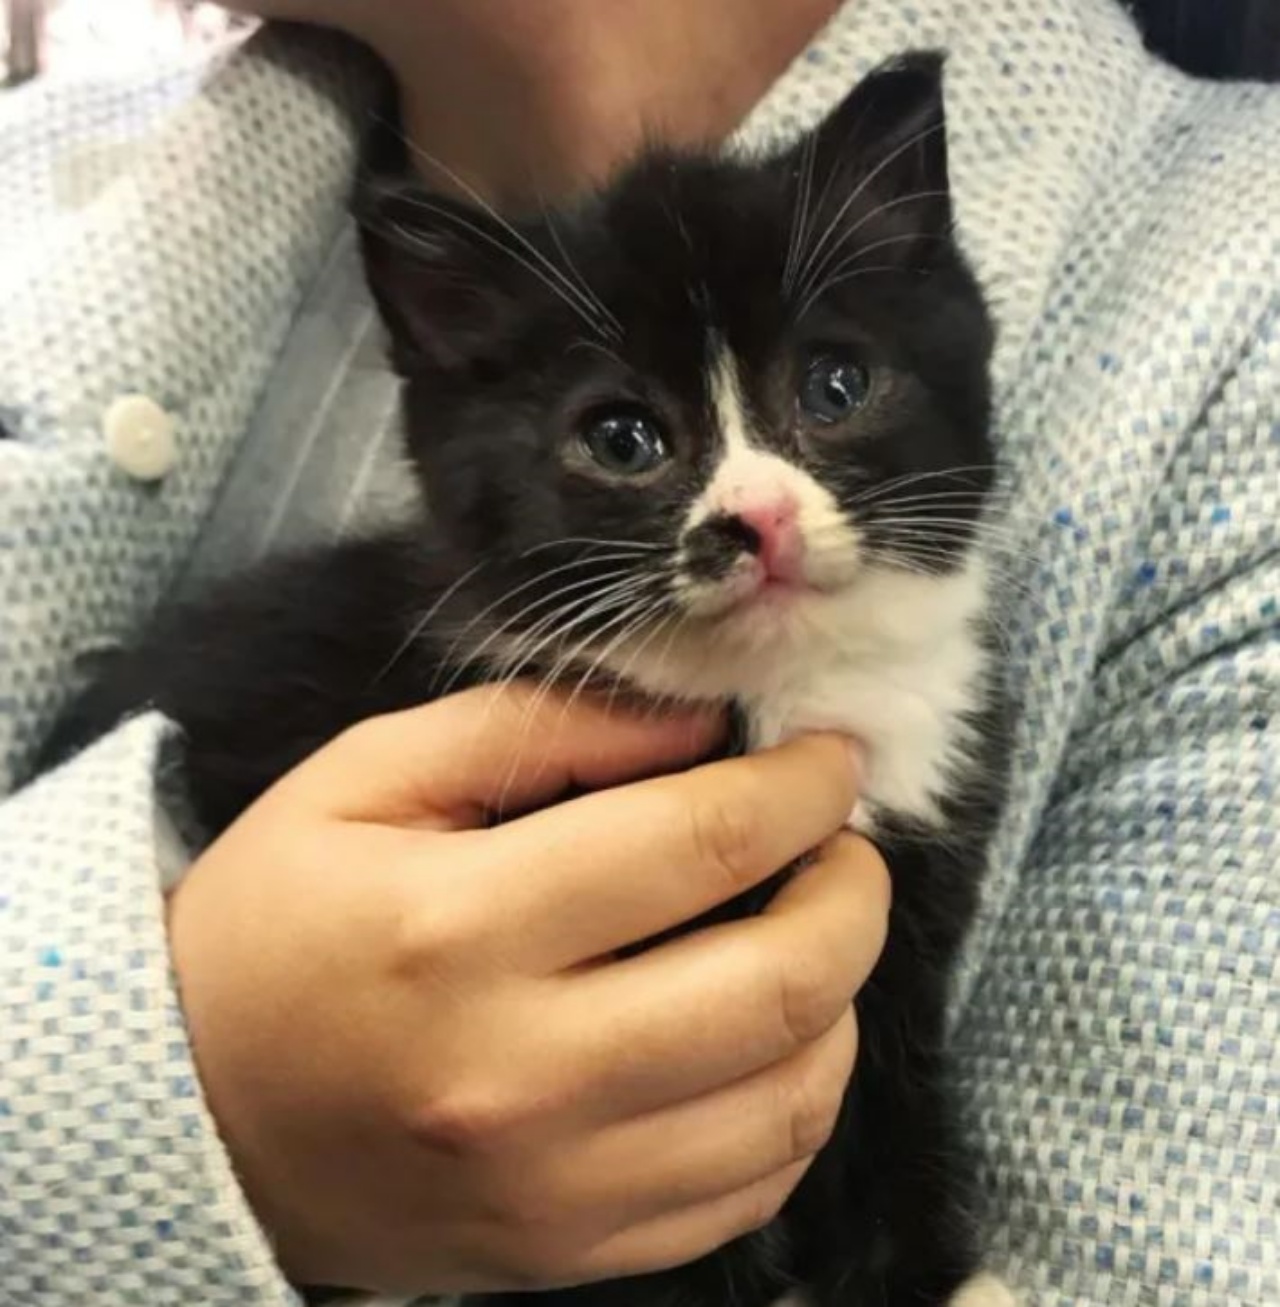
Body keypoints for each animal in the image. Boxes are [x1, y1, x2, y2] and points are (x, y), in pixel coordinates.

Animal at [45, 50, 1014, 1307]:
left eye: (836, 385)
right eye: (620, 438)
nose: (754, 520)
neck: (778, 697)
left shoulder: (910, 903)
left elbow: (896, 1093)